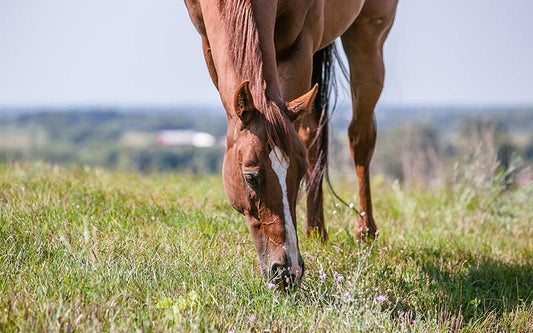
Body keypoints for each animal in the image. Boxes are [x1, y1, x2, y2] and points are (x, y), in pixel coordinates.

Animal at [183, 0, 394, 286]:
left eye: (299, 172)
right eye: (250, 177)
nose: (287, 271)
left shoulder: (298, 46)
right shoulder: (207, 40)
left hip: (369, 36)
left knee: (360, 136)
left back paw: (365, 232)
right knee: (313, 133)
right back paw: (315, 232)